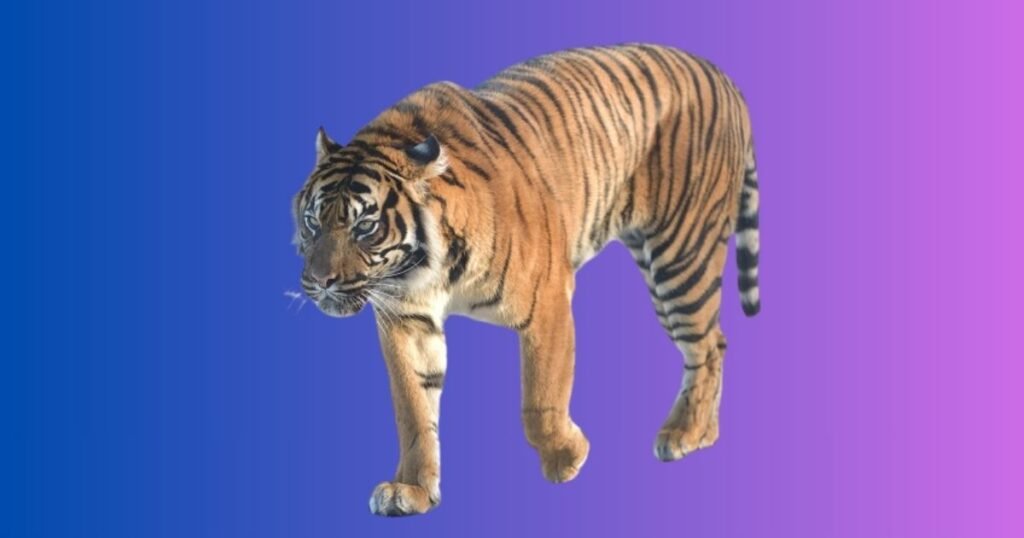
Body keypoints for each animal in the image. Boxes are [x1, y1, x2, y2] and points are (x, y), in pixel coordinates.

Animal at [292, 43, 760, 516]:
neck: (426, 271)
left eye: (365, 226)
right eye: (312, 221)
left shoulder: (548, 302)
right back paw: (701, 432)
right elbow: (413, 409)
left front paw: (566, 456)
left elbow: (541, 399)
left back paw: (685, 434)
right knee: (716, 342)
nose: (320, 280)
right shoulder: (405, 321)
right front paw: (411, 490)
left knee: (707, 345)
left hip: (681, 257)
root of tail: (722, 77)